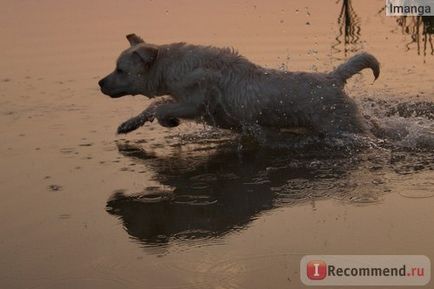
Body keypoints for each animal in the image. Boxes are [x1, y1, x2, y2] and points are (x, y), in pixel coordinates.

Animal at [99, 33, 380, 137]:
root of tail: (333, 78)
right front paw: (129, 124)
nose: (100, 82)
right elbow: (154, 105)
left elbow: (161, 108)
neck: (172, 66)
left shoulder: (196, 103)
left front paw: (169, 121)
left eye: (120, 69)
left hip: (342, 125)